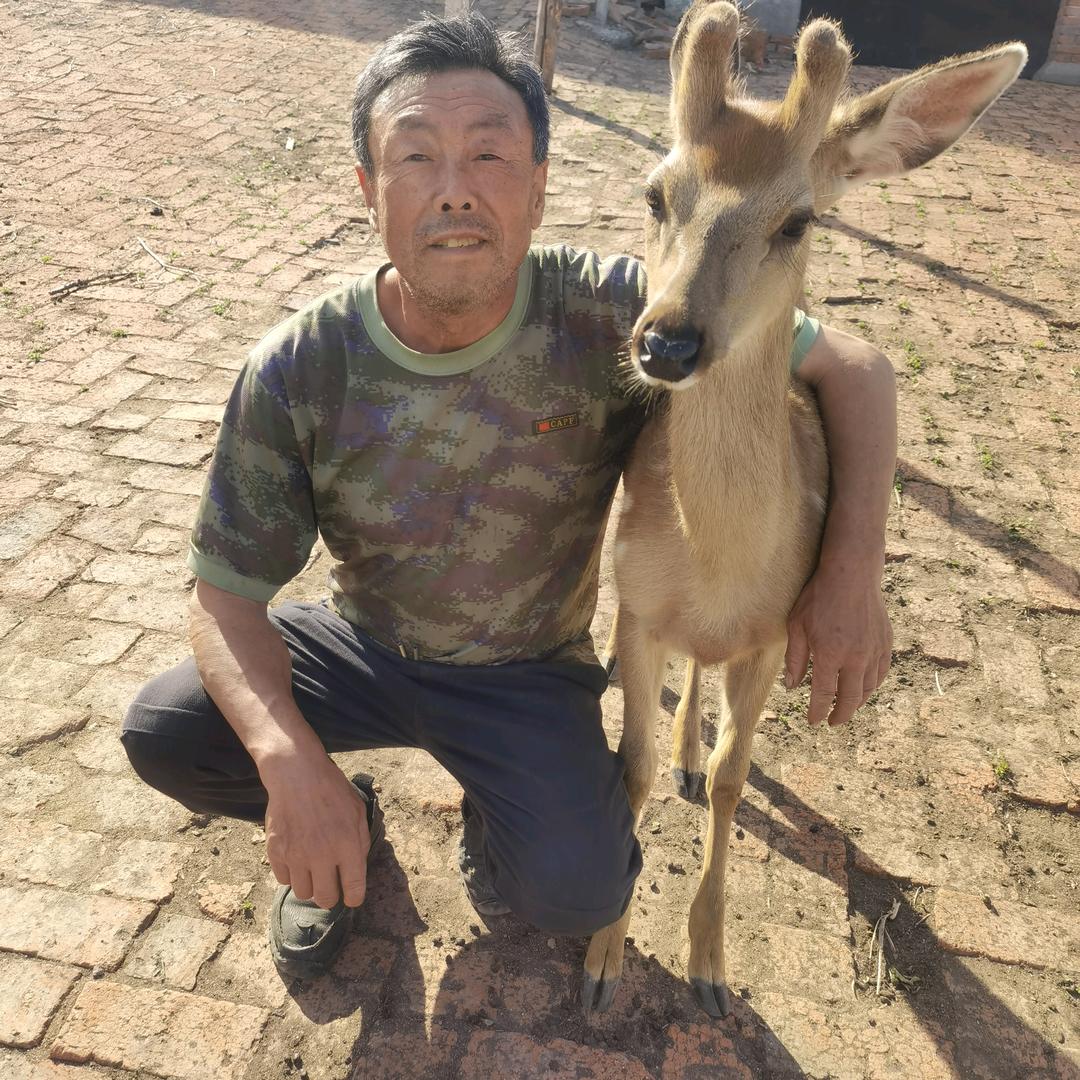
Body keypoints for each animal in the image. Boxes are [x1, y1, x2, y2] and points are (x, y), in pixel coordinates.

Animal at [581, 0, 1026, 1017]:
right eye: (656, 194)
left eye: (799, 219)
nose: (666, 341)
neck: (717, 569)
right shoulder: (635, 609)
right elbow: (628, 769)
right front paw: (602, 959)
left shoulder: (774, 634)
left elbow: (734, 782)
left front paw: (709, 967)